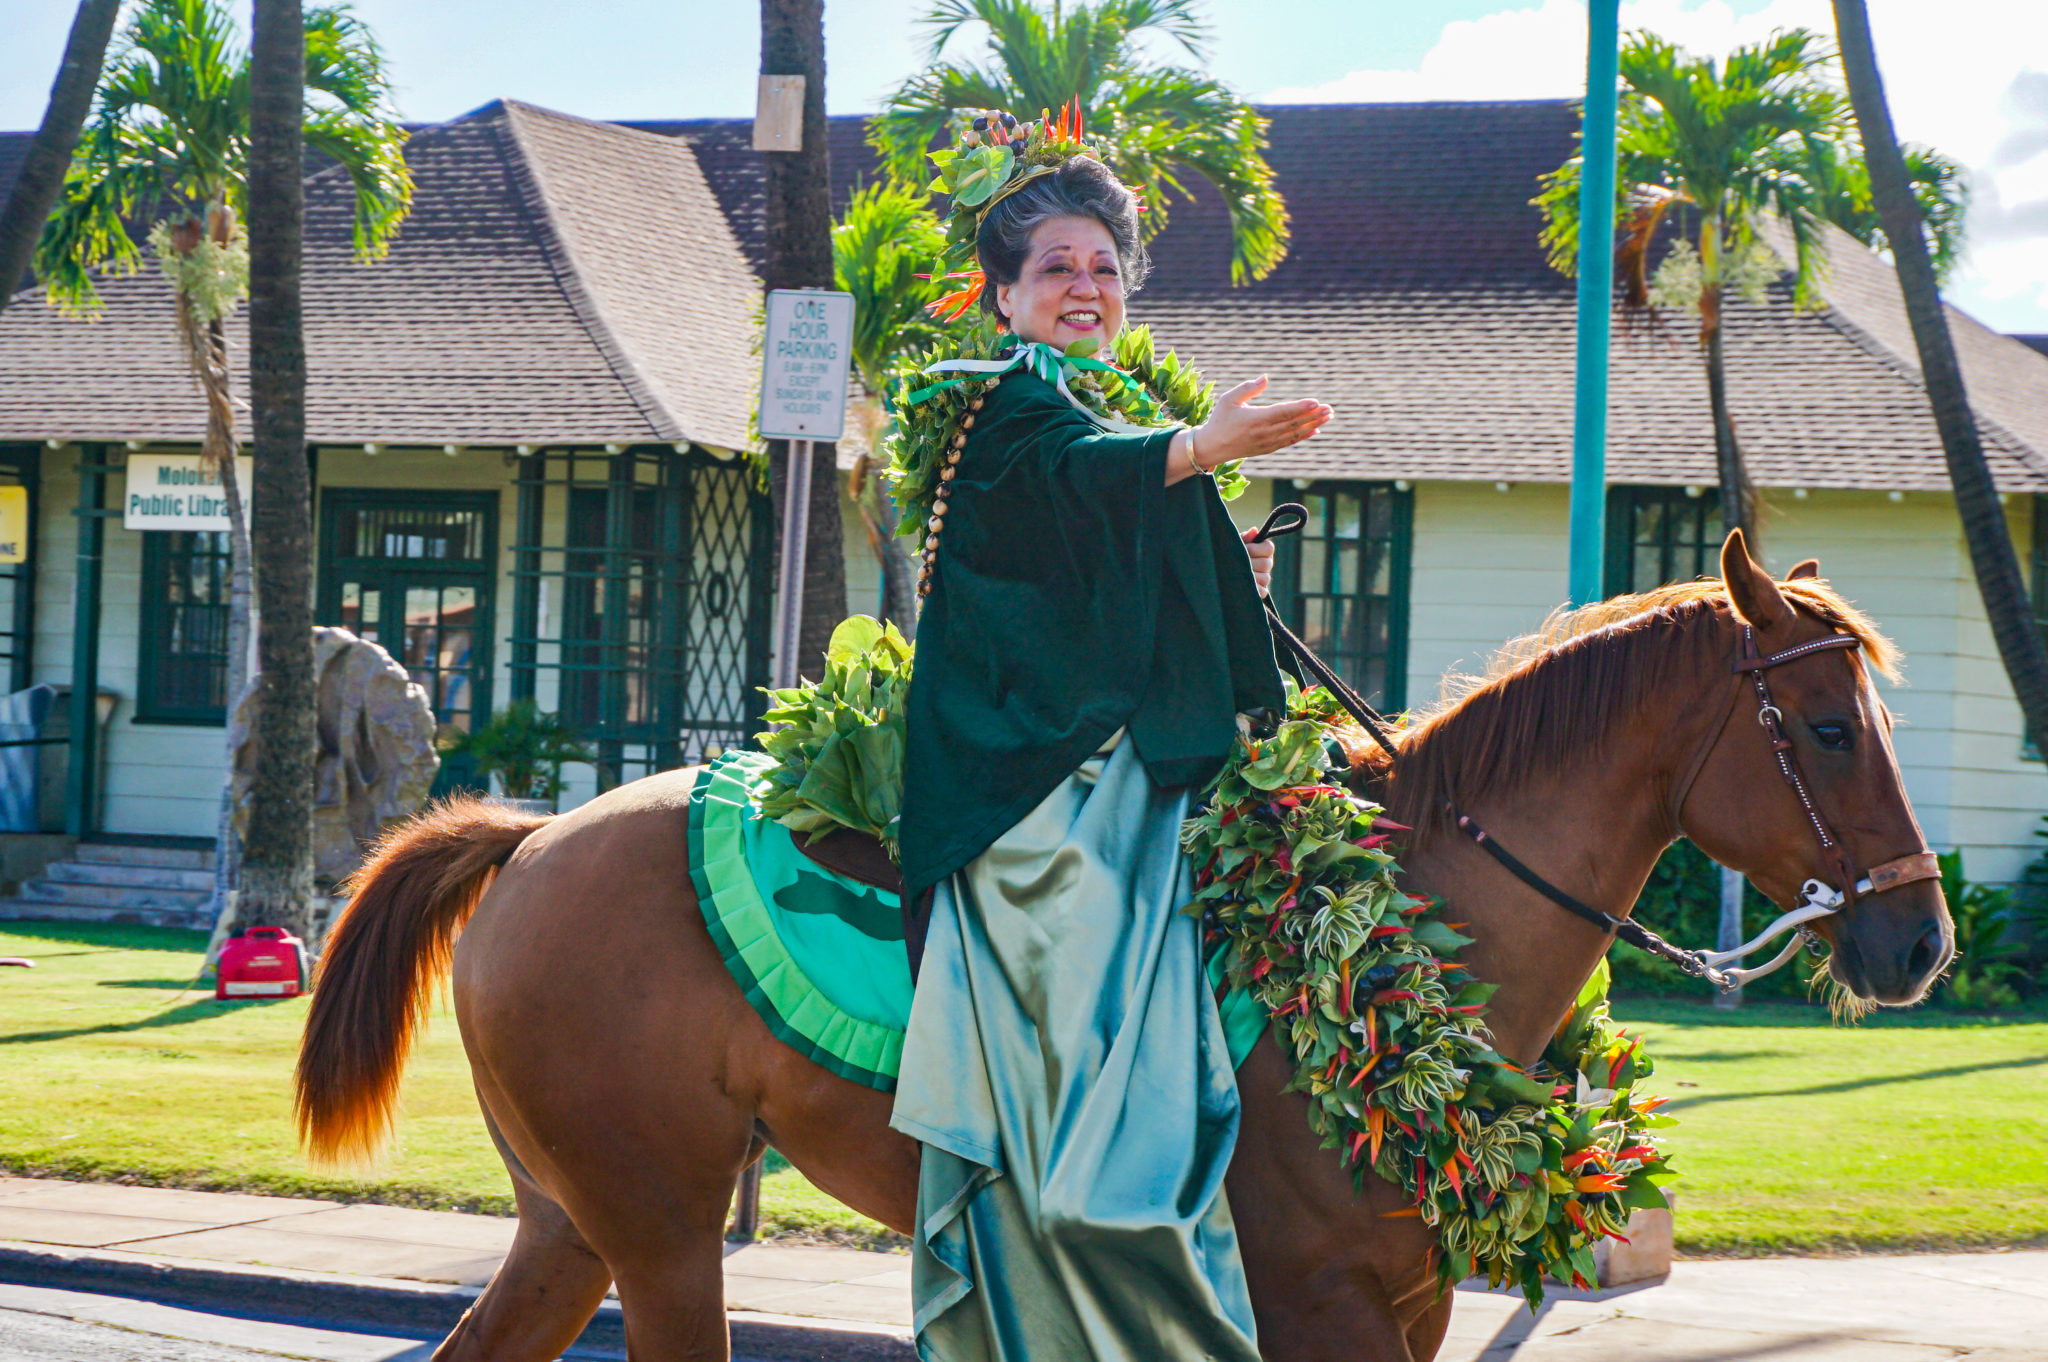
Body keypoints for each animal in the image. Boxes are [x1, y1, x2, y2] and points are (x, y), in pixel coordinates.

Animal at [299, 532, 1949, 1359]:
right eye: (1821, 727)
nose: (1920, 938)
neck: (1408, 926)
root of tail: (529, 840)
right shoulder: (1325, 1303)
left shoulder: (1405, 1304)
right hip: (655, 1229)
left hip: (575, 1223)